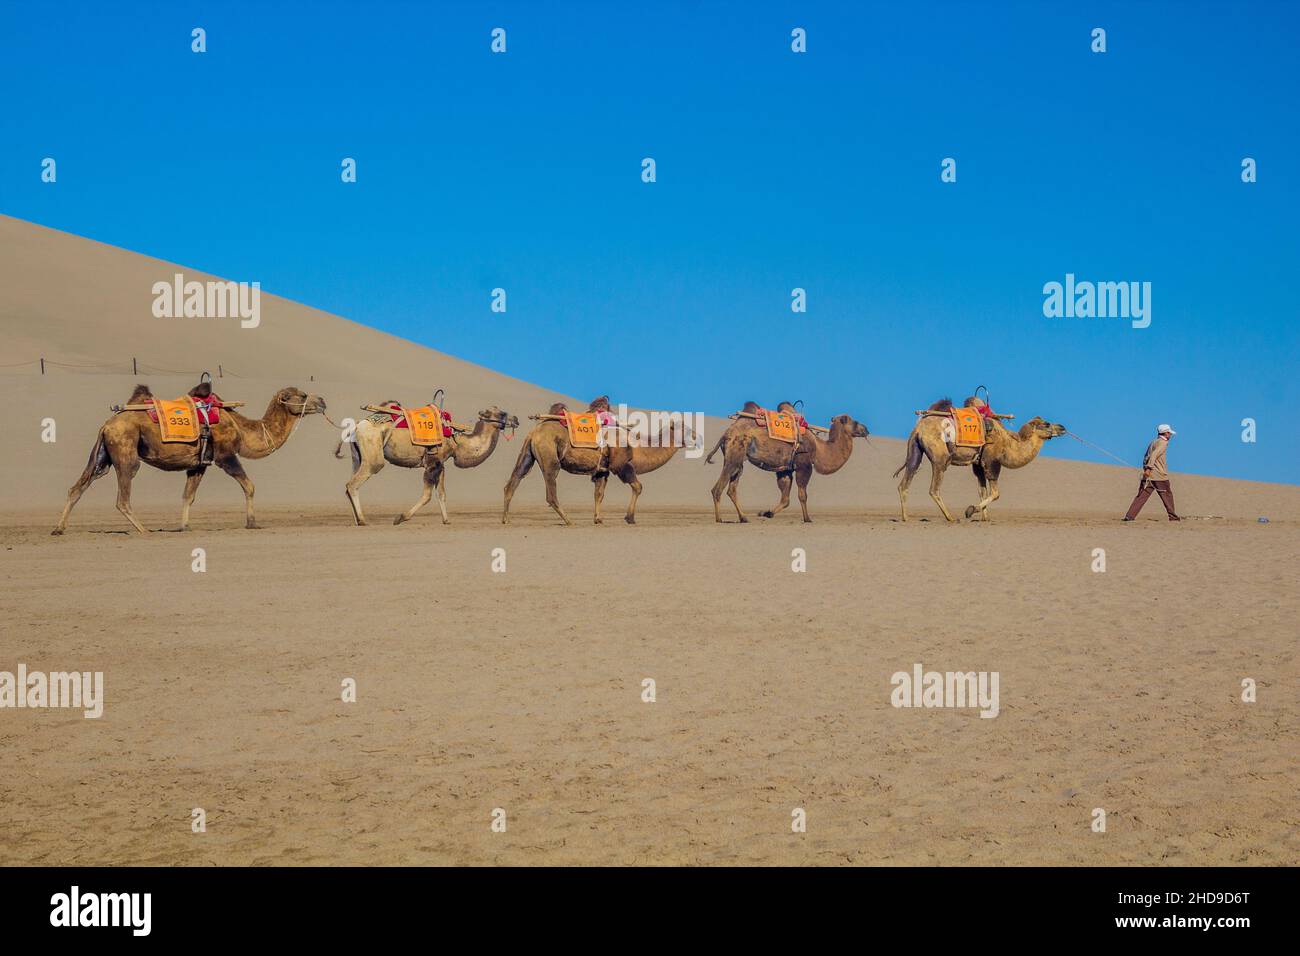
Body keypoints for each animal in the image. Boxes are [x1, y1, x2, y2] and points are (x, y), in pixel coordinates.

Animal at [52, 385, 325, 535]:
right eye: (302, 395)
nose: (322, 401)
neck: (241, 427)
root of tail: (107, 424)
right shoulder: (225, 455)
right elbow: (249, 485)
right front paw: (252, 523)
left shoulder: (199, 464)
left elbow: (188, 496)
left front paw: (184, 526)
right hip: (125, 449)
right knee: (123, 495)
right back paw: (143, 530)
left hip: (102, 454)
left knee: (79, 486)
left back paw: (58, 529)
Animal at [338, 403, 520, 522]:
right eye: (502, 413)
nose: (516, 419)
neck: (457, 441)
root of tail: (356, 426)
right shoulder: (432, 462)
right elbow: (427, 495)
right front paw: (401, 517)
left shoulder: (441, 464)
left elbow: (442, 494)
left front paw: (446, 521)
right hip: (373, 451)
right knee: (354, 483)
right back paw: (362, 520)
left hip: (358, 456)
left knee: (349, 484)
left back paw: (357, 519)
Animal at [499, 398, 702, 528]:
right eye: (685, 430)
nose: (697, 437)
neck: (637, 447)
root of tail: (534, 432)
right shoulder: (621, 466)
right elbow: (638, 486)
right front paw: (629, 518)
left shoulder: (602, 470)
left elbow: (599, 494)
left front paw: (598, 519)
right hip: (549, 457)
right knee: (551, 491)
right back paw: (568, 520)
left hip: (527, 454)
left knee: (513, 481)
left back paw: (505, 519)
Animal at [707, 403, 868, 522]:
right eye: (855, 422)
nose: (866, 429)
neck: (820, 448)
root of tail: (727, 433)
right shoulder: (804, 465)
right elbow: (802, 494)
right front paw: (807, 519)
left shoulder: (785, 469)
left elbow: (785, 498)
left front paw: (767, 513)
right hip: (734, 454)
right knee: (718, 488)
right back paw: (719, 519)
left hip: (739, 460)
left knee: (732, 488)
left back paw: (743, 518)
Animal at [894, 400, 1066, 528]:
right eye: (1047, 424)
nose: (1062, 427)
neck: (1007, 443)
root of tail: (918, 429)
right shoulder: (992, 461)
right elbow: (995, 493)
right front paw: (970, 510)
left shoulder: (978, 465)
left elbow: (982, 491)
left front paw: (985, 518)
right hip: (940, 457)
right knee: (934, 489)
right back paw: (951, 517)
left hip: (915, 451)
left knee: (905, 481)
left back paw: (905, 517)